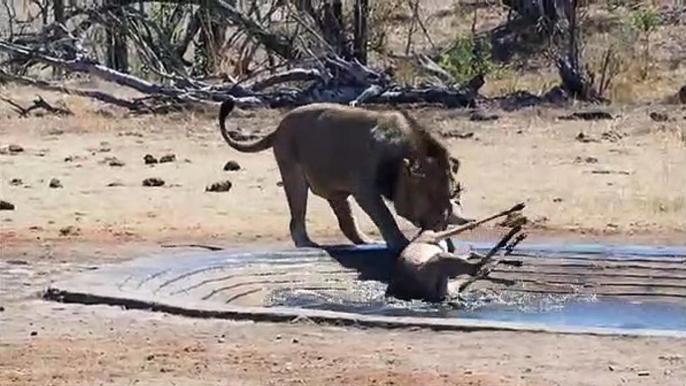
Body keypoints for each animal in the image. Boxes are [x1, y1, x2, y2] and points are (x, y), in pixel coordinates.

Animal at [220, 98, 472, 252]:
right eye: (430, 199)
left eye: (452, 196)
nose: (438, 226)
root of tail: (278, 127)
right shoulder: (365, 190)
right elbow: (385, 217)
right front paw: (401, 244)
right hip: (293, 173)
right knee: (297, 218)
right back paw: (308, 244)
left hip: (336, 191)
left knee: (346, 222)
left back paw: (366, 242)